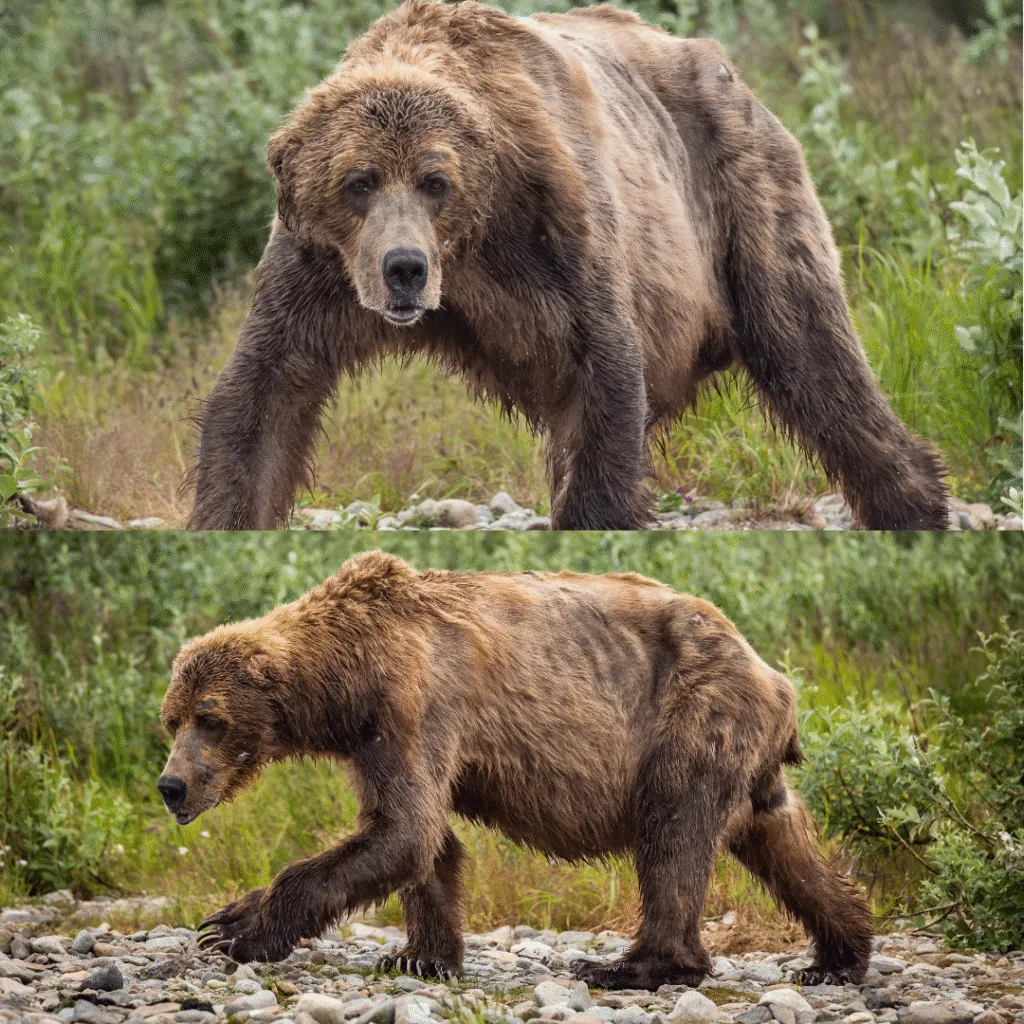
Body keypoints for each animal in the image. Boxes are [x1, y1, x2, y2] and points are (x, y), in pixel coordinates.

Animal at [157, 549, 873, 989]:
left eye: (210, 718)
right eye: (171, 719)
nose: (171, 785)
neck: (348, 677)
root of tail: (774, 675)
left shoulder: (416, 699)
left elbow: (401, 832)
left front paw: (231, 927)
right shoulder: (375, 736)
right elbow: (422, 841)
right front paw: (420, 957)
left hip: (692, 716)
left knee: (673, 831)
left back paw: (633, 966)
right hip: (749, 756)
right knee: (780, 838)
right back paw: (837, 955)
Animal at [185, 0, 949, 533]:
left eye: (435, 181)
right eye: (358, 181)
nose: (404, 268)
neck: (467, 251)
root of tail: (734, 74)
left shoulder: (551, 230)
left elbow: (601, 371)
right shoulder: (318, 272)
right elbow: (263, 397)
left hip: (740, 200)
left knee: (809, 350)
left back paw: (913, 502)